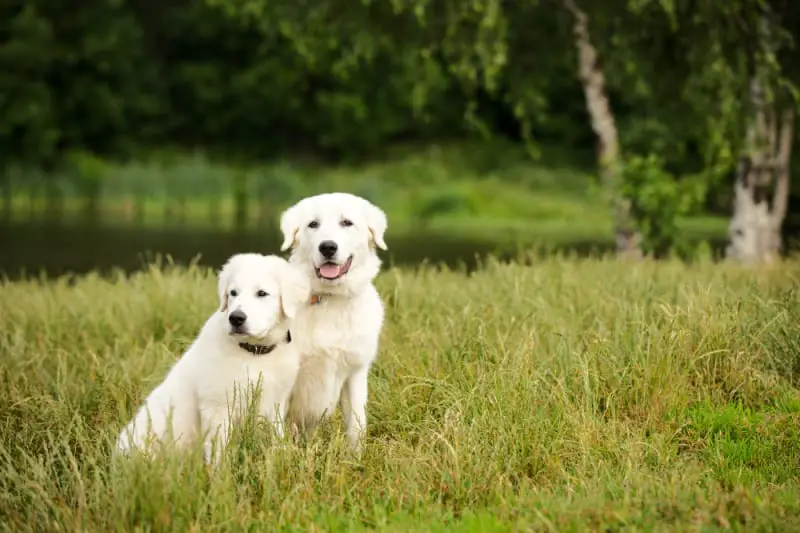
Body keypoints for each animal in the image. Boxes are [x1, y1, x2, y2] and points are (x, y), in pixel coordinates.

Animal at [115, 251, 310, 464]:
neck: (254, 352)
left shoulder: (276, 400)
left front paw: (281, 454)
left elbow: (275, 432)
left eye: (262, 293)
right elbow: (219, 446)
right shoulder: (218, 406)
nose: (236, 318)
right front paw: (221, 471)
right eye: (233, 293)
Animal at [280, 191, 390, 454]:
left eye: (346, 223)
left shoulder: (356, 373)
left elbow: (357, 427)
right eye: (313, 224)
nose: (328, 247)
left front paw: (356, 459)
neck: (329, 299)